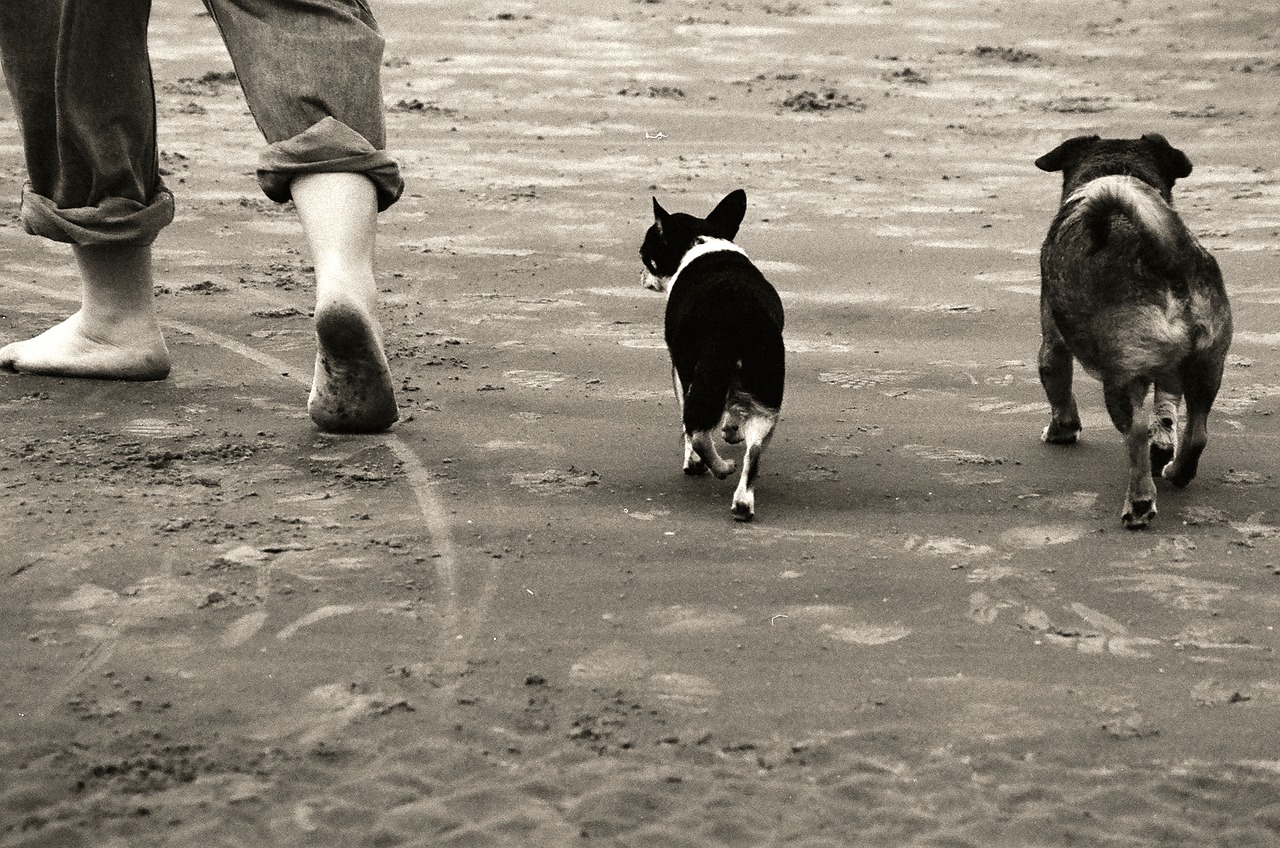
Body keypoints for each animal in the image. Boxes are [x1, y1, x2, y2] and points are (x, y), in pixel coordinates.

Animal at [637, 189, 778, 522]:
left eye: (645, 255)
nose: (640, 275)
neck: (701, 241)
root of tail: (734, 321)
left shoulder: (679, 371)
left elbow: (688, 424)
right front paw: (731, 428)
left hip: (697, 373)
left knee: (698, 432)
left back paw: (718, 467)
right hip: (767, 395)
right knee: (754, 453)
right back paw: (743, 503)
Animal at [1034, 133, 1233, 532]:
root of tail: (1167, 258)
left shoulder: (1053, 341)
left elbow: (1057, 387)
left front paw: (1061, 431)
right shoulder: (1171, 374)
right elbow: (1167, 412)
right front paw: (1164, 446)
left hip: (1121, 381)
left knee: (1137, 432)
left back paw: (1139, 503)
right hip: (1207, 369)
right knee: (1197, 431)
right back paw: (1176, 472)